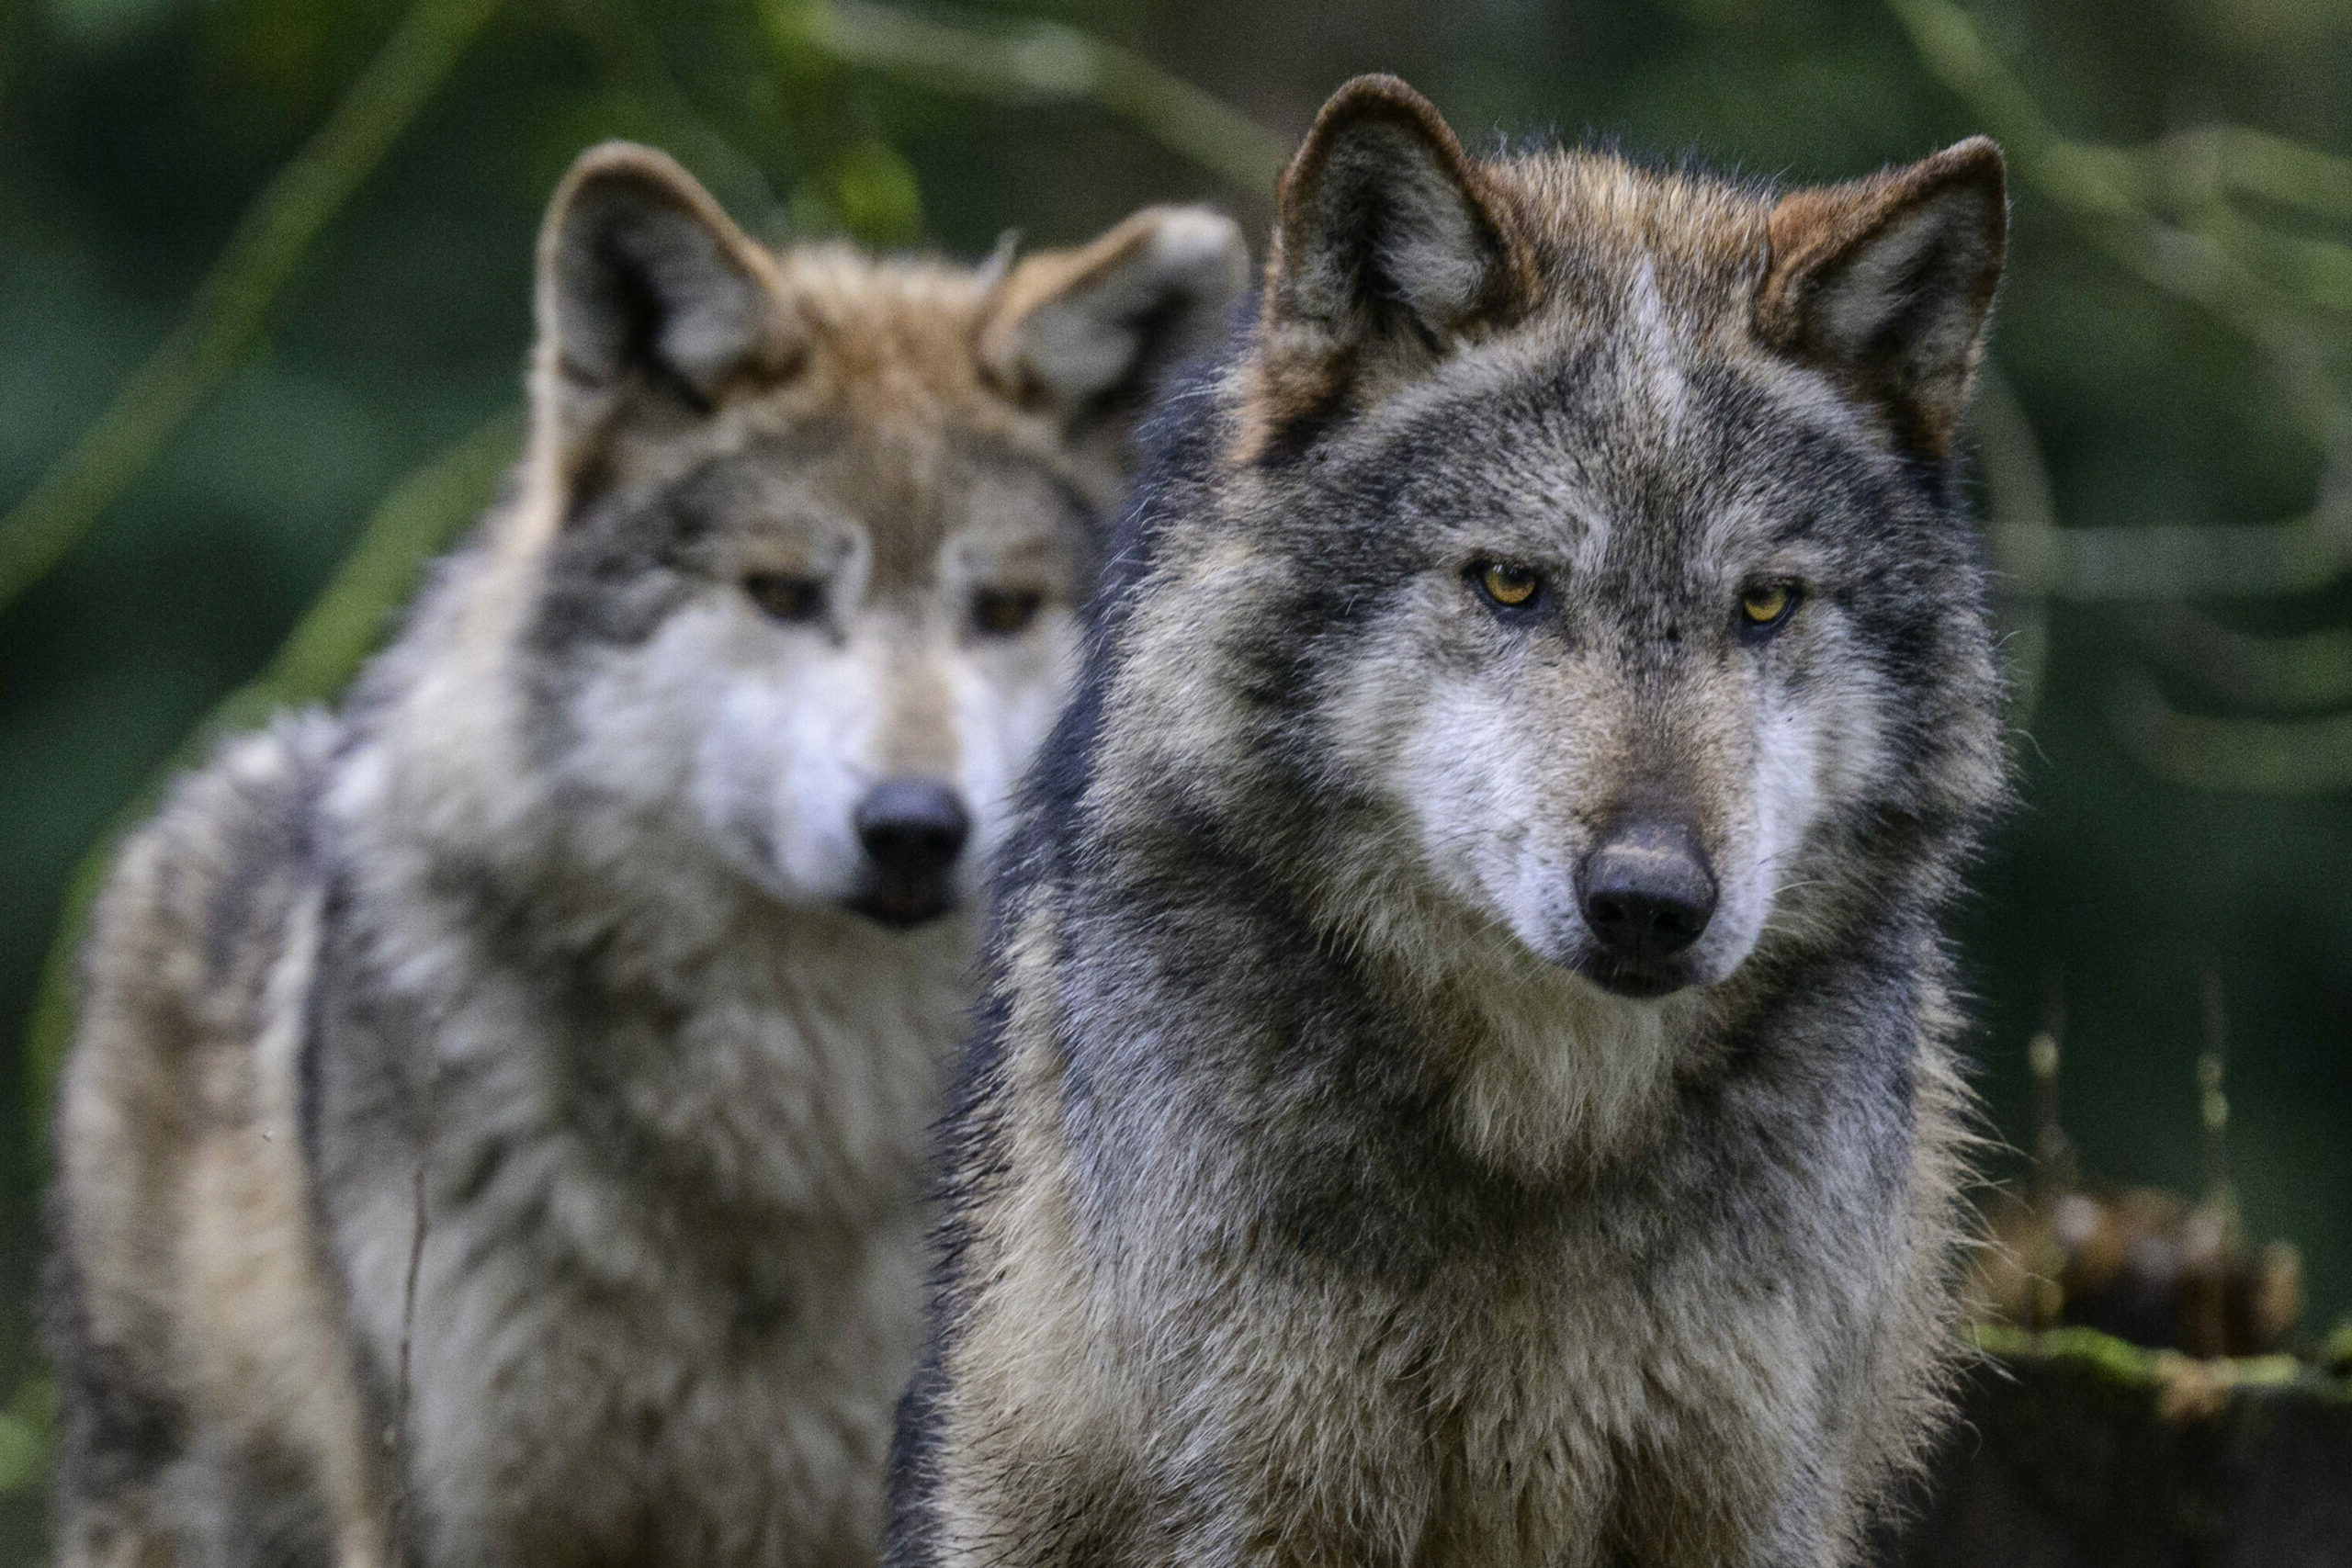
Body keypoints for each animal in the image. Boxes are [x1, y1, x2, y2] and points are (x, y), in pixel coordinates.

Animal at [886, 75, 2009, 1568]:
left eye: (1765, 603)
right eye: (1511, 583)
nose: (1650, 900)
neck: (1549, 1117)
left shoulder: (1745, 1491)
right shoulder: (1257, 1487)